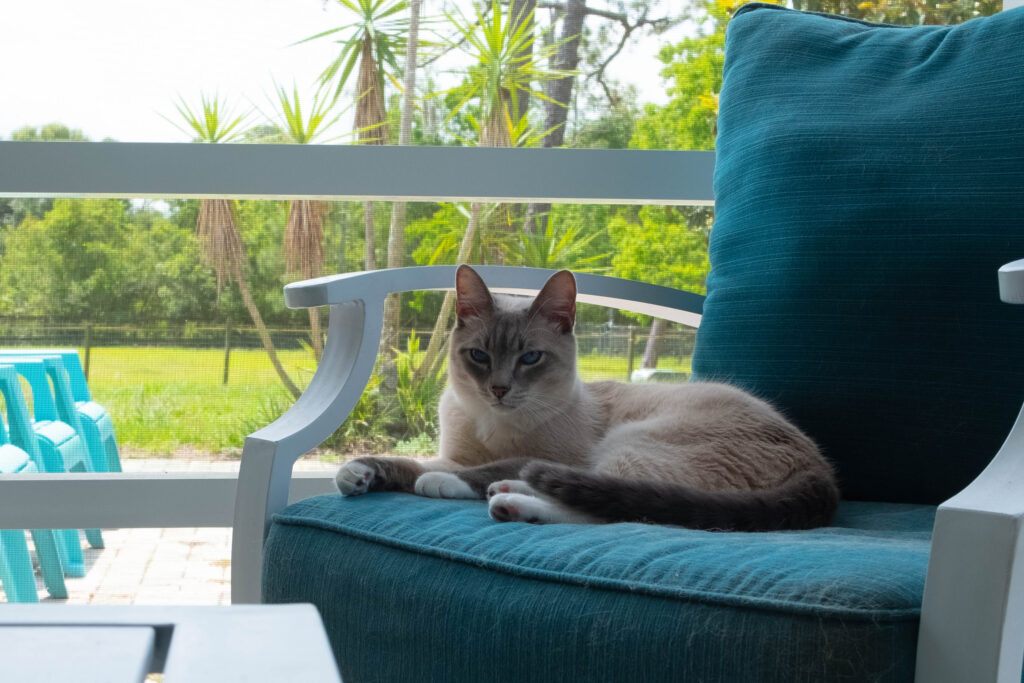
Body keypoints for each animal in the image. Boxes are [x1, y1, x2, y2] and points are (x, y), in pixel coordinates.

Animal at [337, 264, 839, 532]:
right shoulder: (458, 453)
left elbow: (469, 470)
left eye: (530, 358)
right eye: (479, 356)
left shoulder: (555, 455)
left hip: (632, 444)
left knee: (619, 509)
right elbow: (411, 463)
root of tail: (822, 468)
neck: (494, 423)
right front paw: (356, 474)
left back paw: (511, 503)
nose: (498, 389)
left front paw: (441, 482)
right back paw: (510, 493)